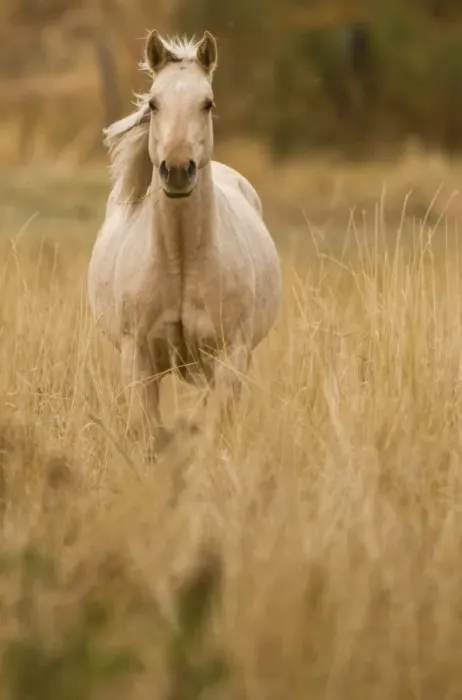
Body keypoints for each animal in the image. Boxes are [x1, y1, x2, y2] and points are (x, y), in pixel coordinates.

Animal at [87, 29, 282, 448]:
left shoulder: (229, 357)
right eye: (154, 103)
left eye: (207, 103)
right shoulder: (138, 359)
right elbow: (145, 432)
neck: (180, 260)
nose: (177, 170)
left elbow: (217, 429)